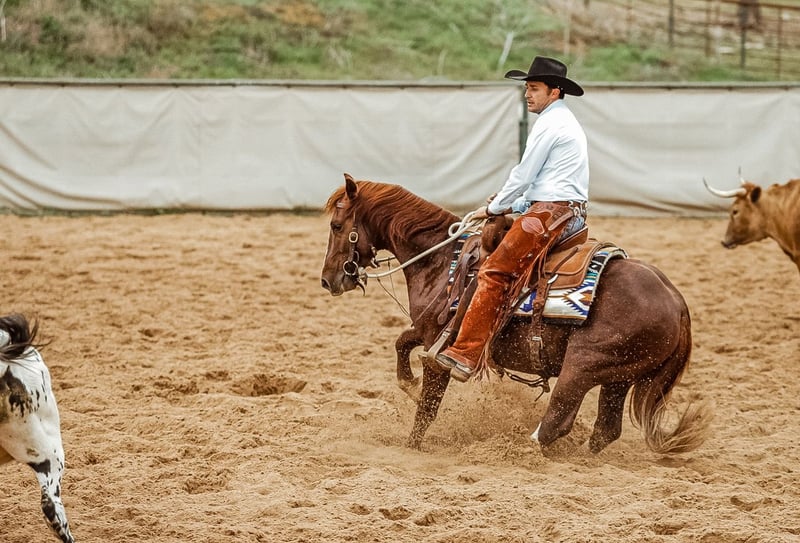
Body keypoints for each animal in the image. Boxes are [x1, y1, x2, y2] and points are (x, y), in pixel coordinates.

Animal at [320, 174, 712, 456]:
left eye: (337, 225)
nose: (328, 280)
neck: (443, 259)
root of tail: (677, 303)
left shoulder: (439, 345)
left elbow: (427, 406)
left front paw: (411, 445)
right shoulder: (429, 328)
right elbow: (401, 343)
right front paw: (409, 384)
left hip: (584, 365)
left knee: (558, 419)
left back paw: (515, 450)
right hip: (619, 378)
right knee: (605, 430)